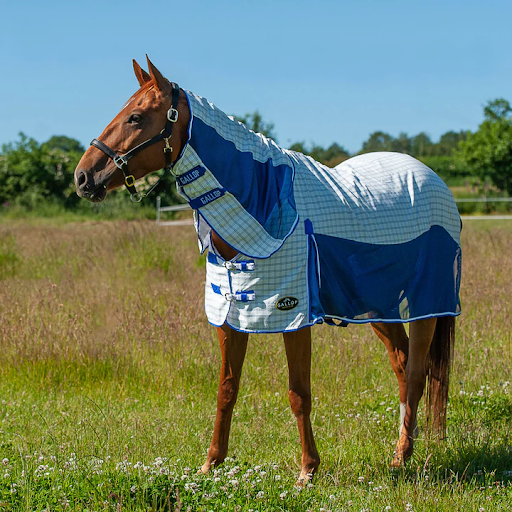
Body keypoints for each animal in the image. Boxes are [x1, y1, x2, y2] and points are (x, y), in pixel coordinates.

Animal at [74, 57, 458, 484]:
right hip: (378, 306)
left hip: (428, 303)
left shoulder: (294, 315)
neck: (263, 201)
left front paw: (308, 469)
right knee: (404, 366)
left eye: (136, 117)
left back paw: (403, 454)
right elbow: (226, 389)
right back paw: (404, 449)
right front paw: (211, 462)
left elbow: (298, 392)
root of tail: (432, 178)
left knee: (417, 372)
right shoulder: (229, 314)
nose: (83, 177)